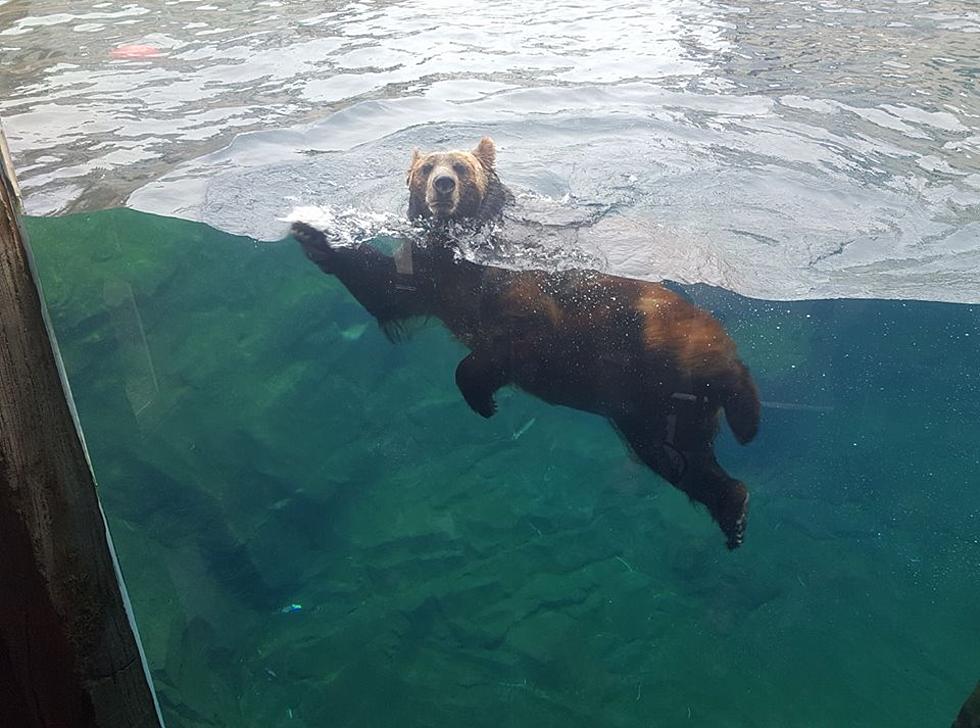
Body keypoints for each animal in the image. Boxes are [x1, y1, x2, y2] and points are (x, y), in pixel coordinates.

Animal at [294, 138, 760, 544]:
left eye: (459, 166)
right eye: (426, 168)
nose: (442, 184)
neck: (463, 247)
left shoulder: (527, 295)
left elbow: (506, 341)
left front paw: (483, 397)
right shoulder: (430, 276)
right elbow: (384, 289)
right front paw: (310, 232)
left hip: (655, 333)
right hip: (652, 407)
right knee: (678, 459)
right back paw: (733, 511)